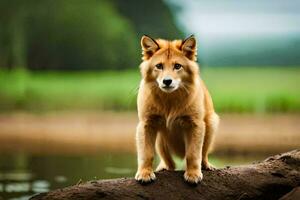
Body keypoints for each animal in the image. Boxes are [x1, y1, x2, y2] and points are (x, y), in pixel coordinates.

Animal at [135, 34, 219, 184]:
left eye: (177, 66)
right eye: (159, 66)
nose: (167, 81)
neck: (170, 100)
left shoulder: (195, 124)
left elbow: (193, 154)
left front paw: (193, 174)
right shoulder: (146, 124)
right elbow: (146, 153)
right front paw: (145, 173)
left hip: (211, 124)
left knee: (203, 154)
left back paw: (206, 165)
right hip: (160, 140)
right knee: (169, 163)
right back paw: (163, 167)